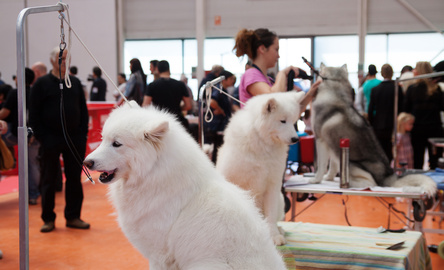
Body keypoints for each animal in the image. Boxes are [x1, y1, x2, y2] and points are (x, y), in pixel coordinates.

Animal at [215, 92, 306, 246]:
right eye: (282, 121)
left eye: (293, 121)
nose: (295, 139)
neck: (262, 144)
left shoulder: (272, 185)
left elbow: (270, 216)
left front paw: (274, 236)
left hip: (280, 200)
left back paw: (279, 230)